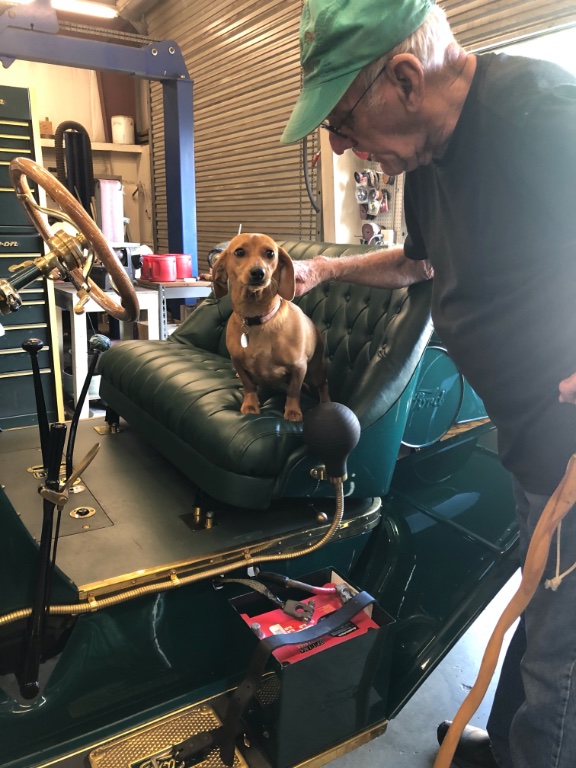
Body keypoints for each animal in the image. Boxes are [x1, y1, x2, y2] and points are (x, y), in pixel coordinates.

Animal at [212, 233, 330, 421]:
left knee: (323, 385)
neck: (257, 319)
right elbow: (248, 385)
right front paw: (251, 405)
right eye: (239, 252)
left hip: (316, 370)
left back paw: (325, 401)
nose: (258, 273)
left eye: (270, 253)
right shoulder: (237, 361)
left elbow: (293, 391)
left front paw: (293, 411)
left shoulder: (299, 367)